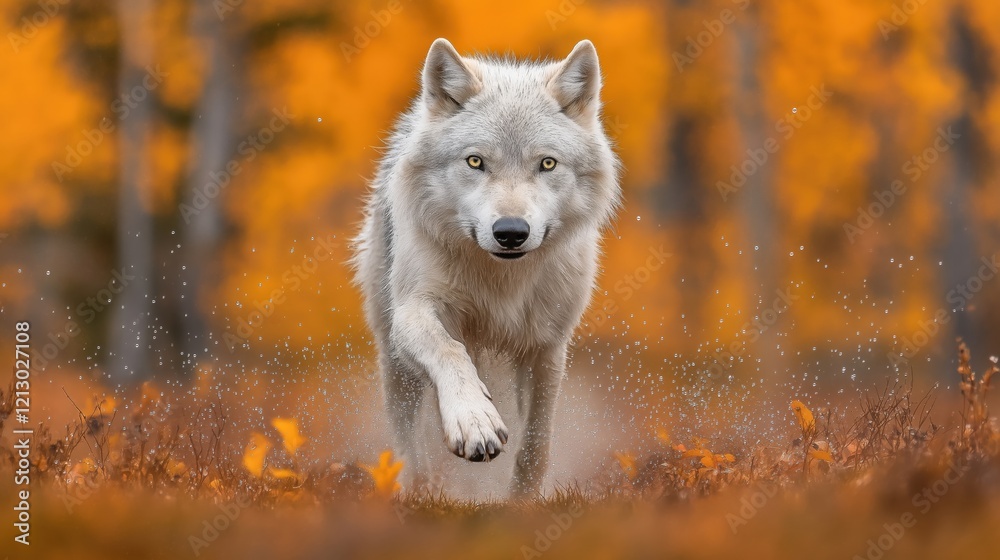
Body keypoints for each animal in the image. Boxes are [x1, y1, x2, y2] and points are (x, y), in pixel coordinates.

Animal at [352, 38, 620, 497]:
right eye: (475, 162)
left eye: (547, 164)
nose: (510, 232)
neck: (500, 280)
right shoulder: (415, 310)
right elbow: (449, 351)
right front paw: (474, 422)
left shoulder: (548, 347)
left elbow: (536, 440)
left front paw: (521, 500)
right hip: (394, 360)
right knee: (409, 442)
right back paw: (417, 488)